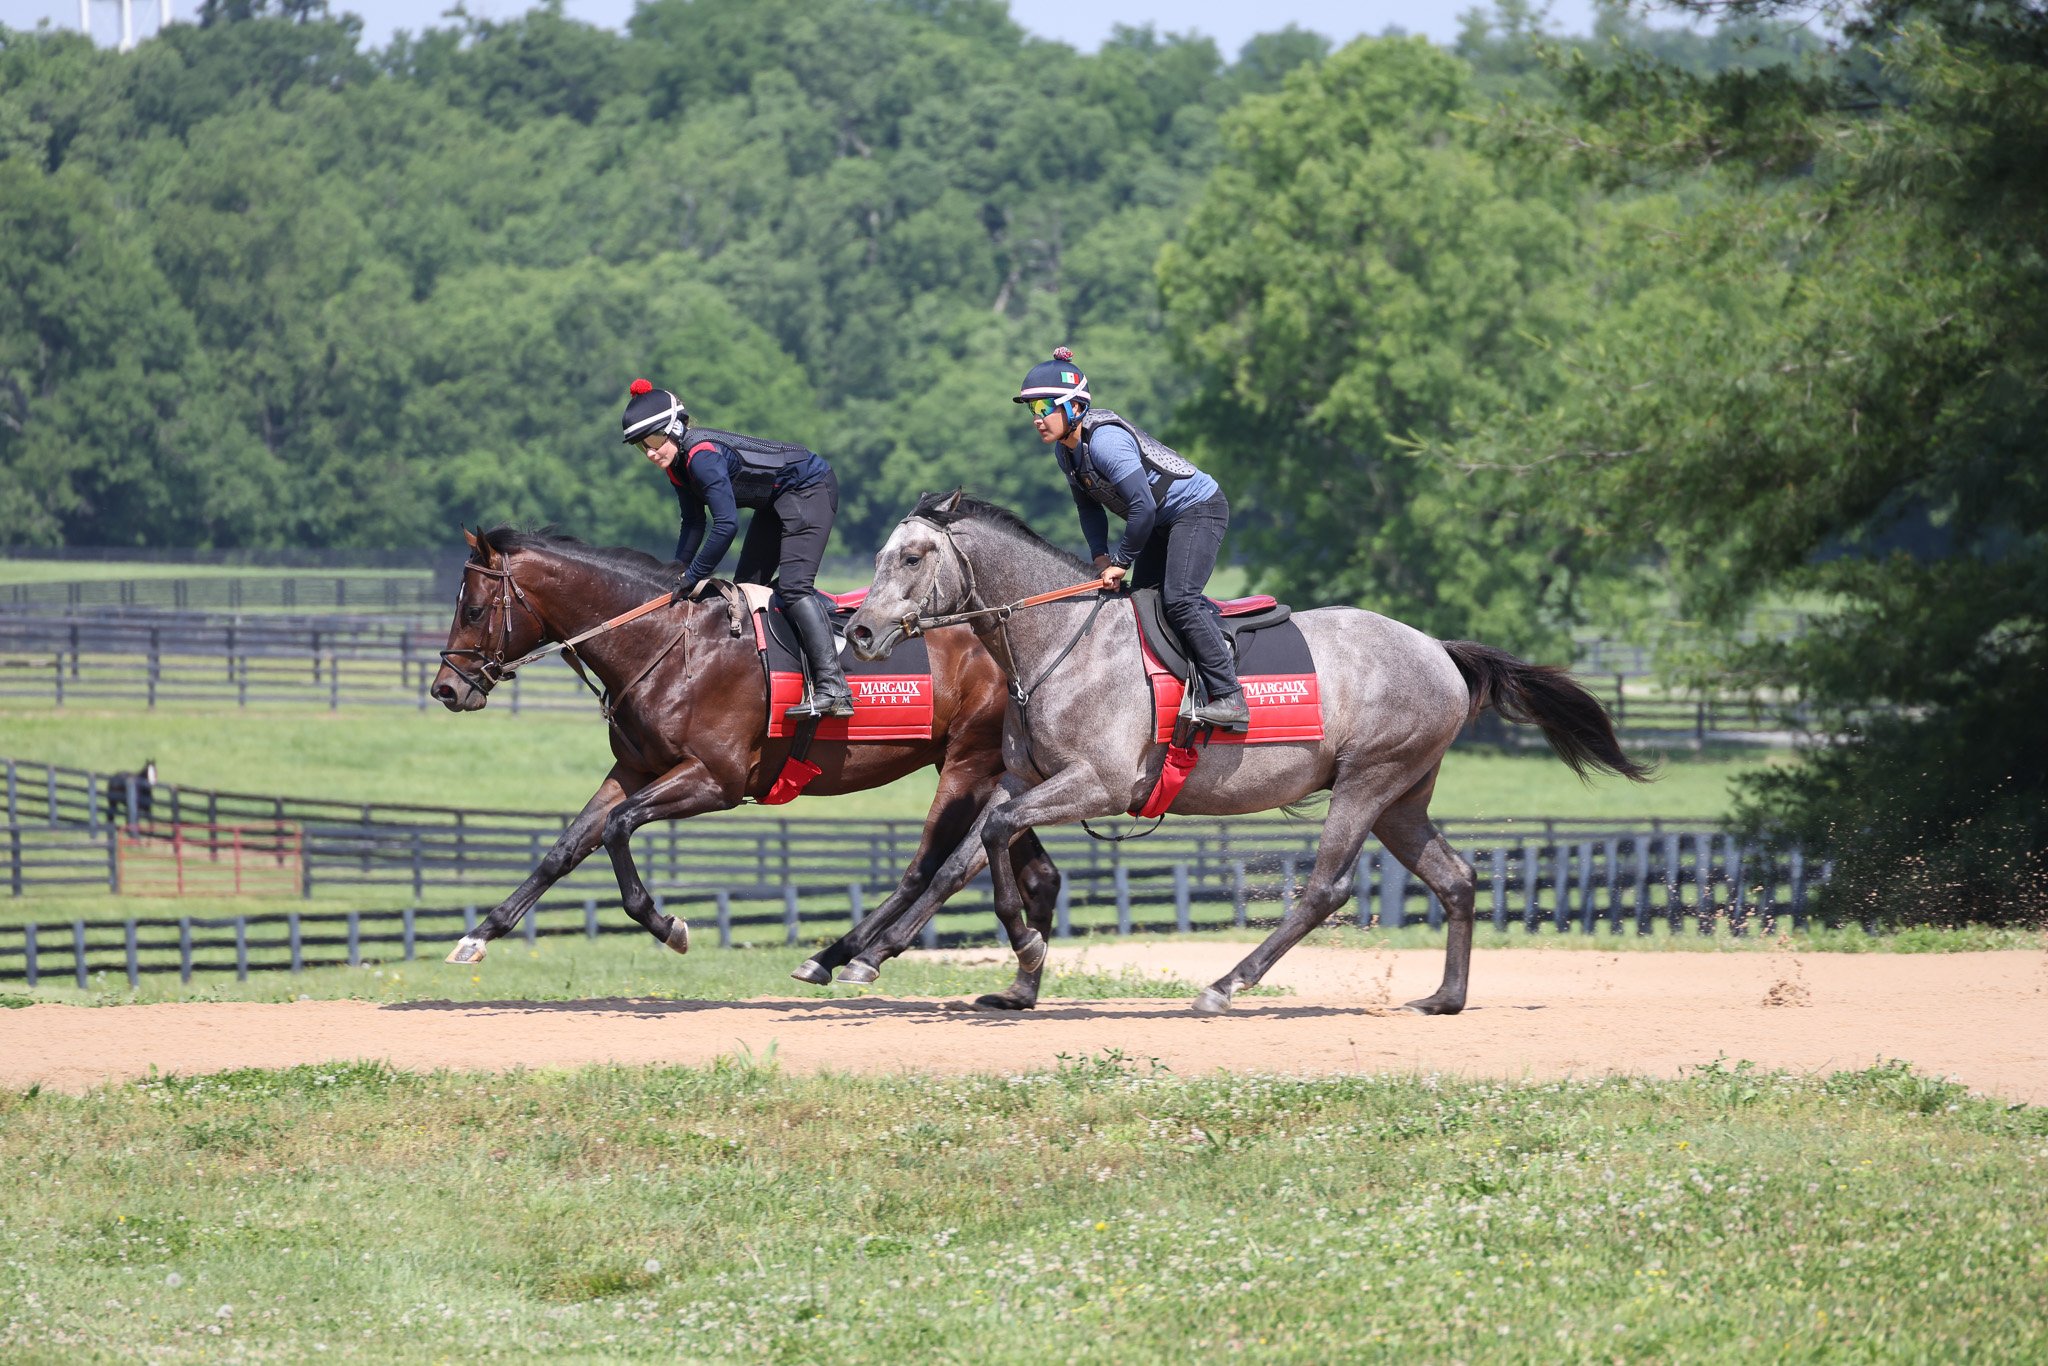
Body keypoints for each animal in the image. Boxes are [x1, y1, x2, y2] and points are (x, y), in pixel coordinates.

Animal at [425, 524, 1064, 995]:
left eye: (474, 610)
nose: (446, 690)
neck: (668, 644)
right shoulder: (633, 770)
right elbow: (565, 848)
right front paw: (478, 934)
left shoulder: (717, 780)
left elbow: (617, 827)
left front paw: (668, 925)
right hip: (993, 770)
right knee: (1030, 869)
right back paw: (1018, 984)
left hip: (966, 763)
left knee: (931, 865)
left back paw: (852, 955)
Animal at [815, 491, 1646, 1015]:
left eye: (914, 556)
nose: (861, 633)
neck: (1060, 644)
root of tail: (1439, 649)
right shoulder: (1022, 778)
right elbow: (959, 859)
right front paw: (883, 957)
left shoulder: (1099, 784)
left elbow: (988, 841)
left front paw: (1022, 946)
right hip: (1402, 799)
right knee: (1456, 879)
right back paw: (1445, 998)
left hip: (1367, 783)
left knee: (1324, 891)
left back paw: (1226, 984)